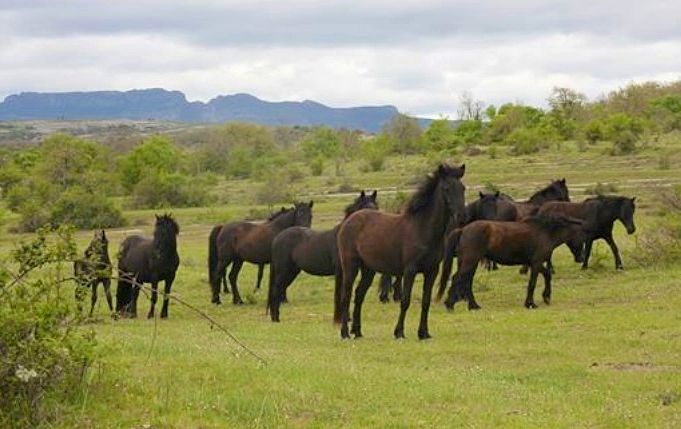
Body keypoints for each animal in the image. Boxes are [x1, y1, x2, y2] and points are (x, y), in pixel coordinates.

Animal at [267, 191, 378, 322]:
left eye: (376, 207)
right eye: (365, 209)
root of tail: (276, 238)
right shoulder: (340, 271)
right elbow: (340, 294)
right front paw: (339, 319)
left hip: (292, 272)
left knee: (279, 291)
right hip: (283, 271)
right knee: (276, 291)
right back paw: (275, 318)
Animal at [335, 163, 466, 340]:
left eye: (463, 188)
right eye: (446, 188)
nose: (461, 216)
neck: (422, 229)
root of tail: (349, 221)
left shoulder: (432, 271)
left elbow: (425, 302)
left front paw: (423, 333)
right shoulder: (410, 271)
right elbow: (405, 301)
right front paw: (399, 332)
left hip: (368, 270)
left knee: (359, 295)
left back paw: (357, 331)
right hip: (351, 266)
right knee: (346, 296)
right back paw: (345, 333)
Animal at [436, 213, 584, 310]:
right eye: (581, 238)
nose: (581, 258)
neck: (545, 232)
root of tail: (463, 230)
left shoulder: (533, 263)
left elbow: (547, 275)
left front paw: (546, 297)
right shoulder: (536, 263)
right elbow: (532, 283)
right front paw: (530, 304)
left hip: (470, 262)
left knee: (466, 281)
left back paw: (473, 306)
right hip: (469, 262)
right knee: (458, 279)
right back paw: (450, 305)